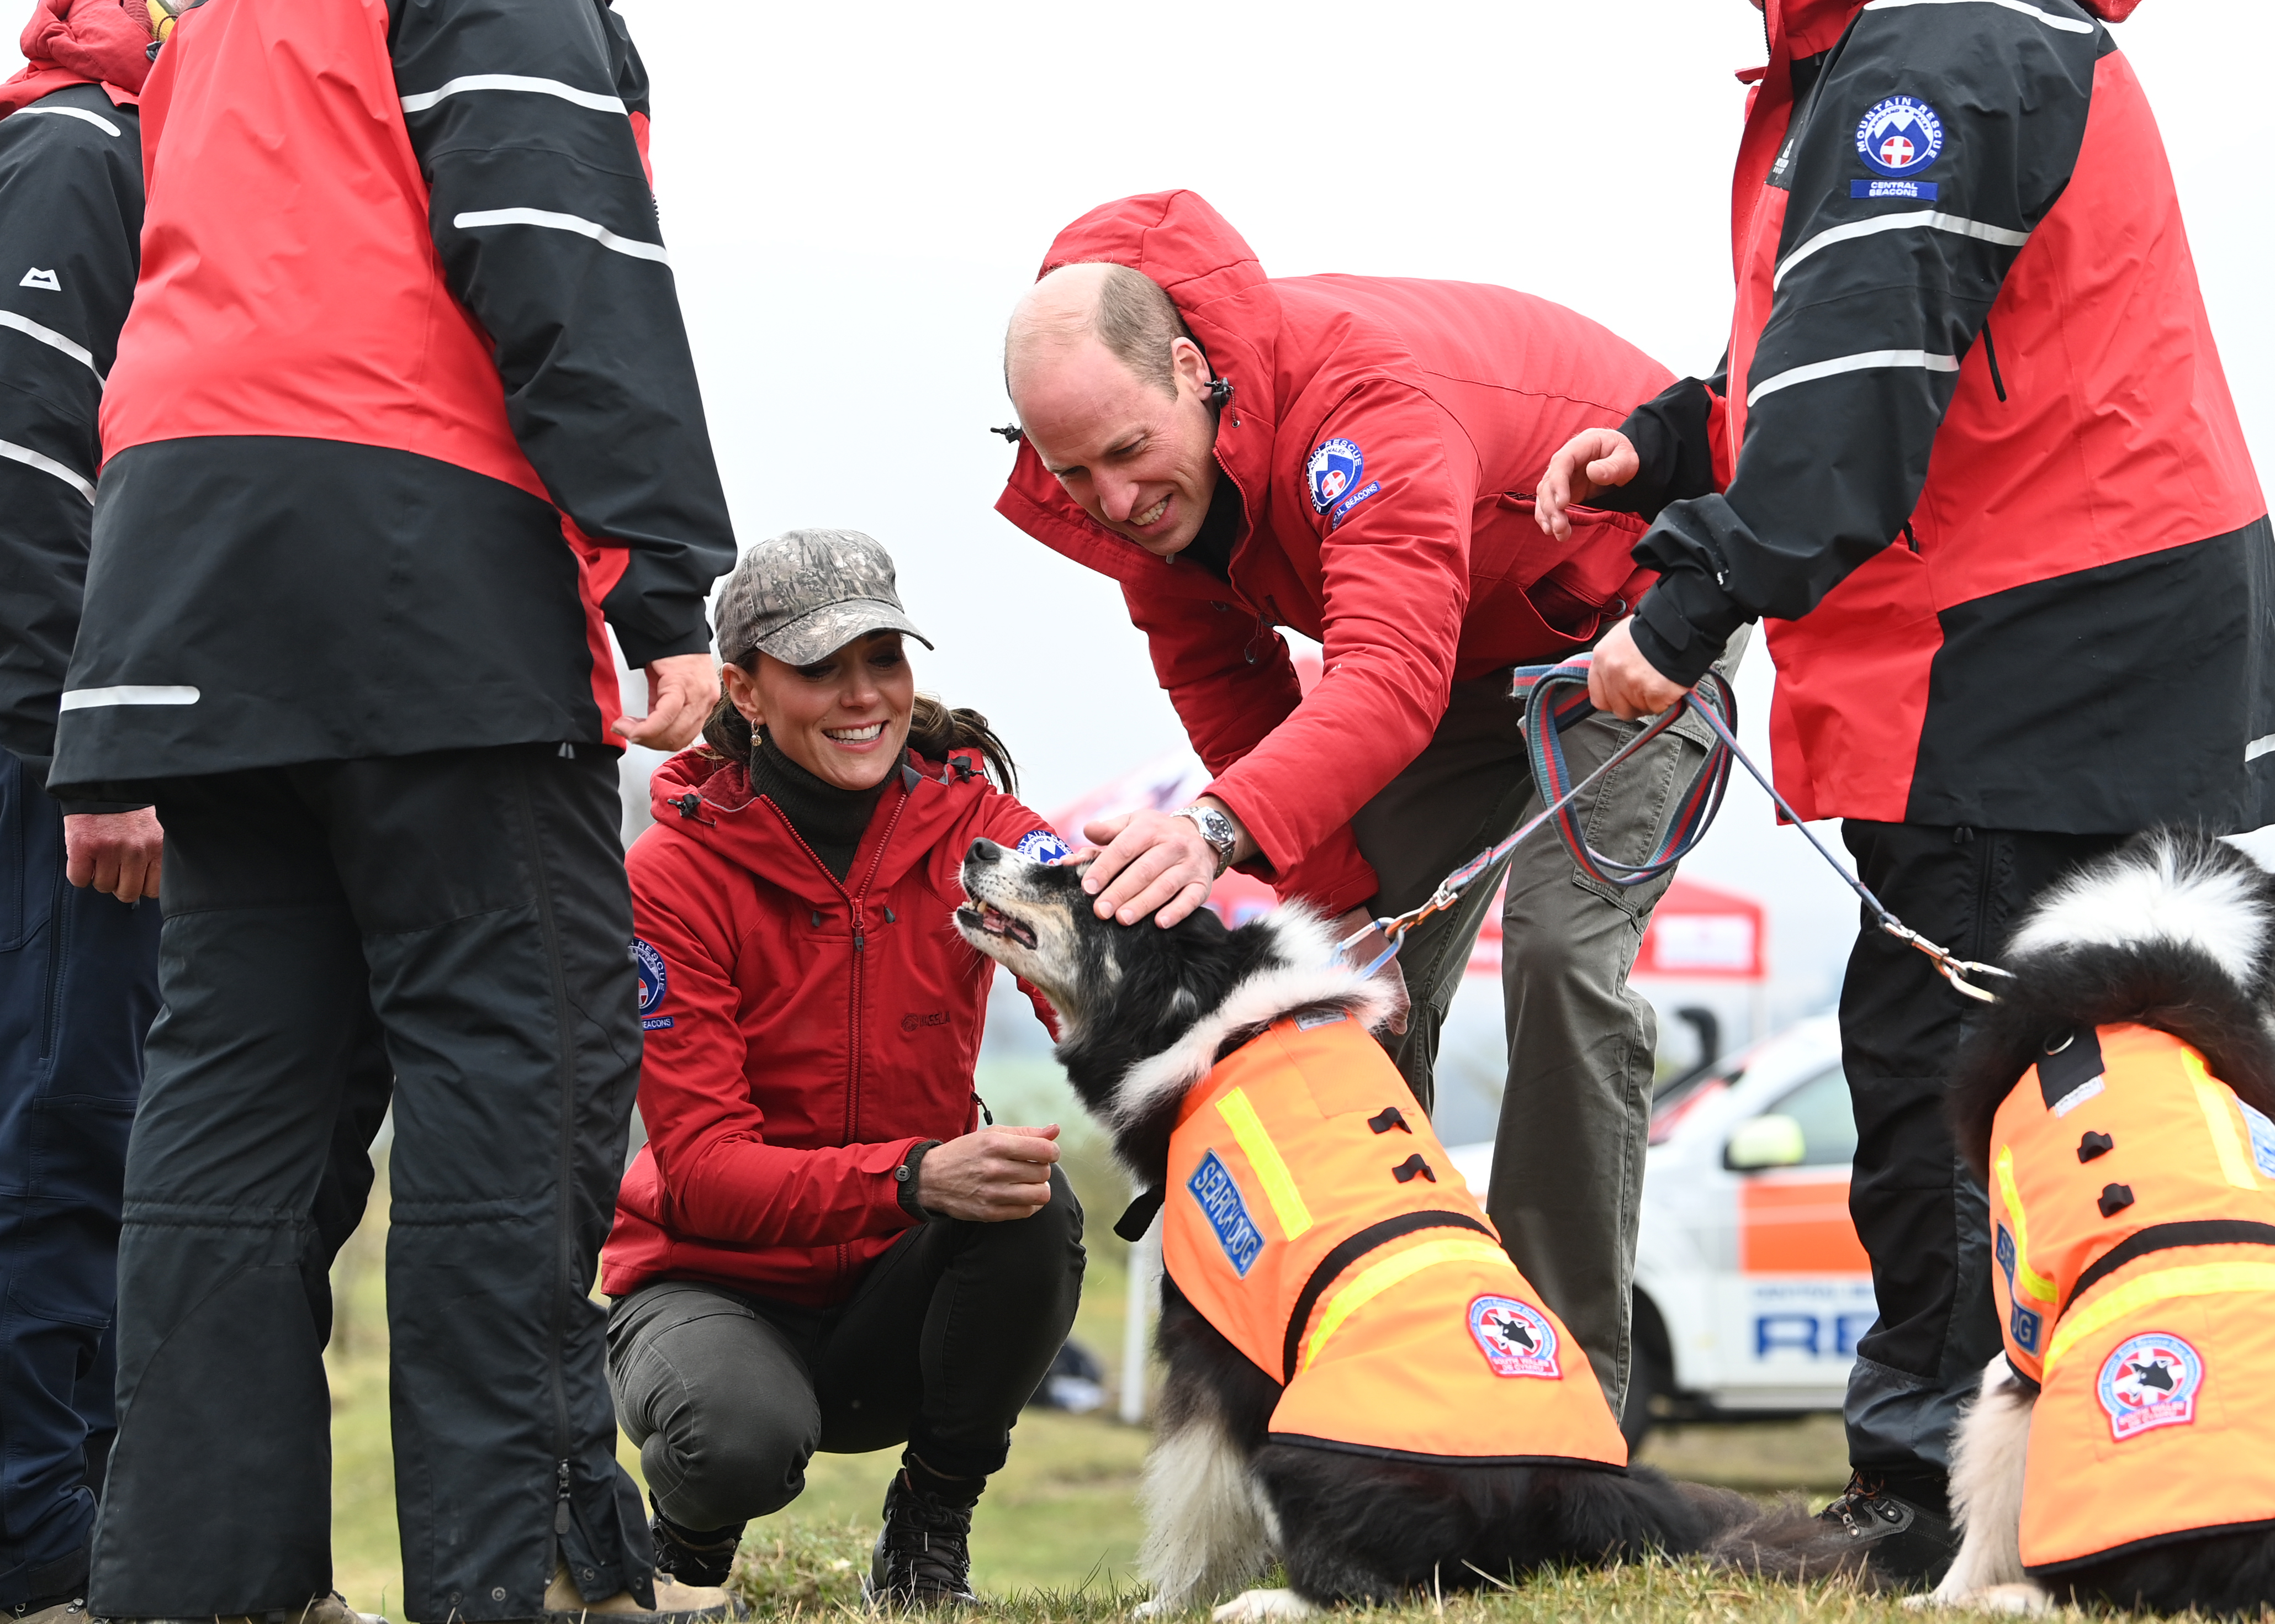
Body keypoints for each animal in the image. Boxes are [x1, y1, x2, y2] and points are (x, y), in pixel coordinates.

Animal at [951, 842, 1765, 1610]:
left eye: (1083, 882)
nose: (980, 846)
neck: (1217, 1020)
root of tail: (1568, 1492)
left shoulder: (1211, 1339)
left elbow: (1196, 1493)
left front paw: (1174, 1598)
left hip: (1301, 1448)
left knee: (1387, 1584)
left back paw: (1267, 1602)